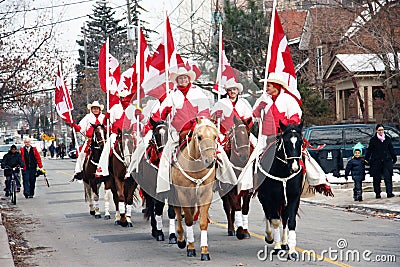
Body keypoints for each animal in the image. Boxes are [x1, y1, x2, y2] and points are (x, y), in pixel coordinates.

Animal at [170, 118, 217, 262]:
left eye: (215, 136)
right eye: (199, 137)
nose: (210, 161)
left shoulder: (206, 194)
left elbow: (203, 223)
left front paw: (204, 251)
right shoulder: (183, 194)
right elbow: (188, 220)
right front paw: (190, 248)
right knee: (178, 214)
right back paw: (181, 240)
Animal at [256, 122, 304, 262]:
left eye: (300, 141)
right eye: (286, 142)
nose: (294, 167)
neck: (283, 172)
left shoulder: (294, 197)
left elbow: (290, 221)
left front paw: (292, 251)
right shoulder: (270, 198)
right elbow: (275, 221)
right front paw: (276, 247)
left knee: (284, 218)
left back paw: (284, 243)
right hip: (264, 199)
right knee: (268, 215)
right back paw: (270, 237)